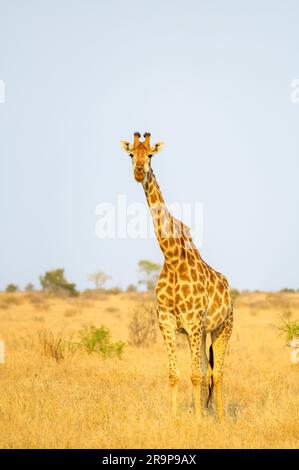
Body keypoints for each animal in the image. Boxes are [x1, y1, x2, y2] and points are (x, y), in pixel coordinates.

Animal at [120, 133, 233, 422]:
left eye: (150, 154)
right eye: (131, 154)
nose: (139, 171)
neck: (171, 258)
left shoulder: (192, 323)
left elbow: (194, 375)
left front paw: (197, 421)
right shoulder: (167, 323)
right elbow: (175, 374)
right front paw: (176, 419)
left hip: (222, 328)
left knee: (218, 374)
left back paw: (221, 418)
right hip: (204, 333)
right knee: (208, 372)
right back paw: (209, 413)